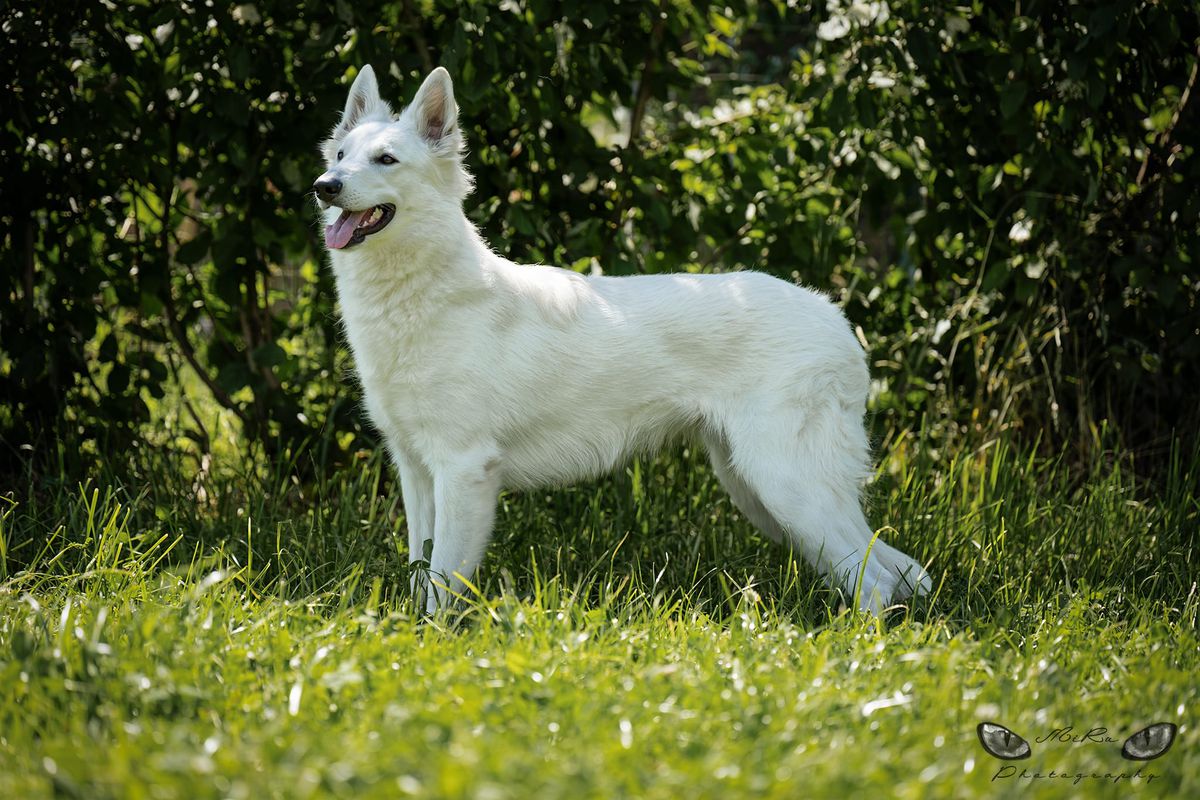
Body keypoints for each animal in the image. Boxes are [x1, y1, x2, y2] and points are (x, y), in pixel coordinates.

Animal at [312, 68, 926, 618]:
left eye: (386, 160)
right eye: (340, 156)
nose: (324, 187)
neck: (423, 294)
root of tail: (833, 316)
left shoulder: (464, 472)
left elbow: (441, 585)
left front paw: (433, 642)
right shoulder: (415, 471)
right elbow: (420, 573)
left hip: (785, 485)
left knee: (873, 584)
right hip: (759, 490)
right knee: (893, 569)